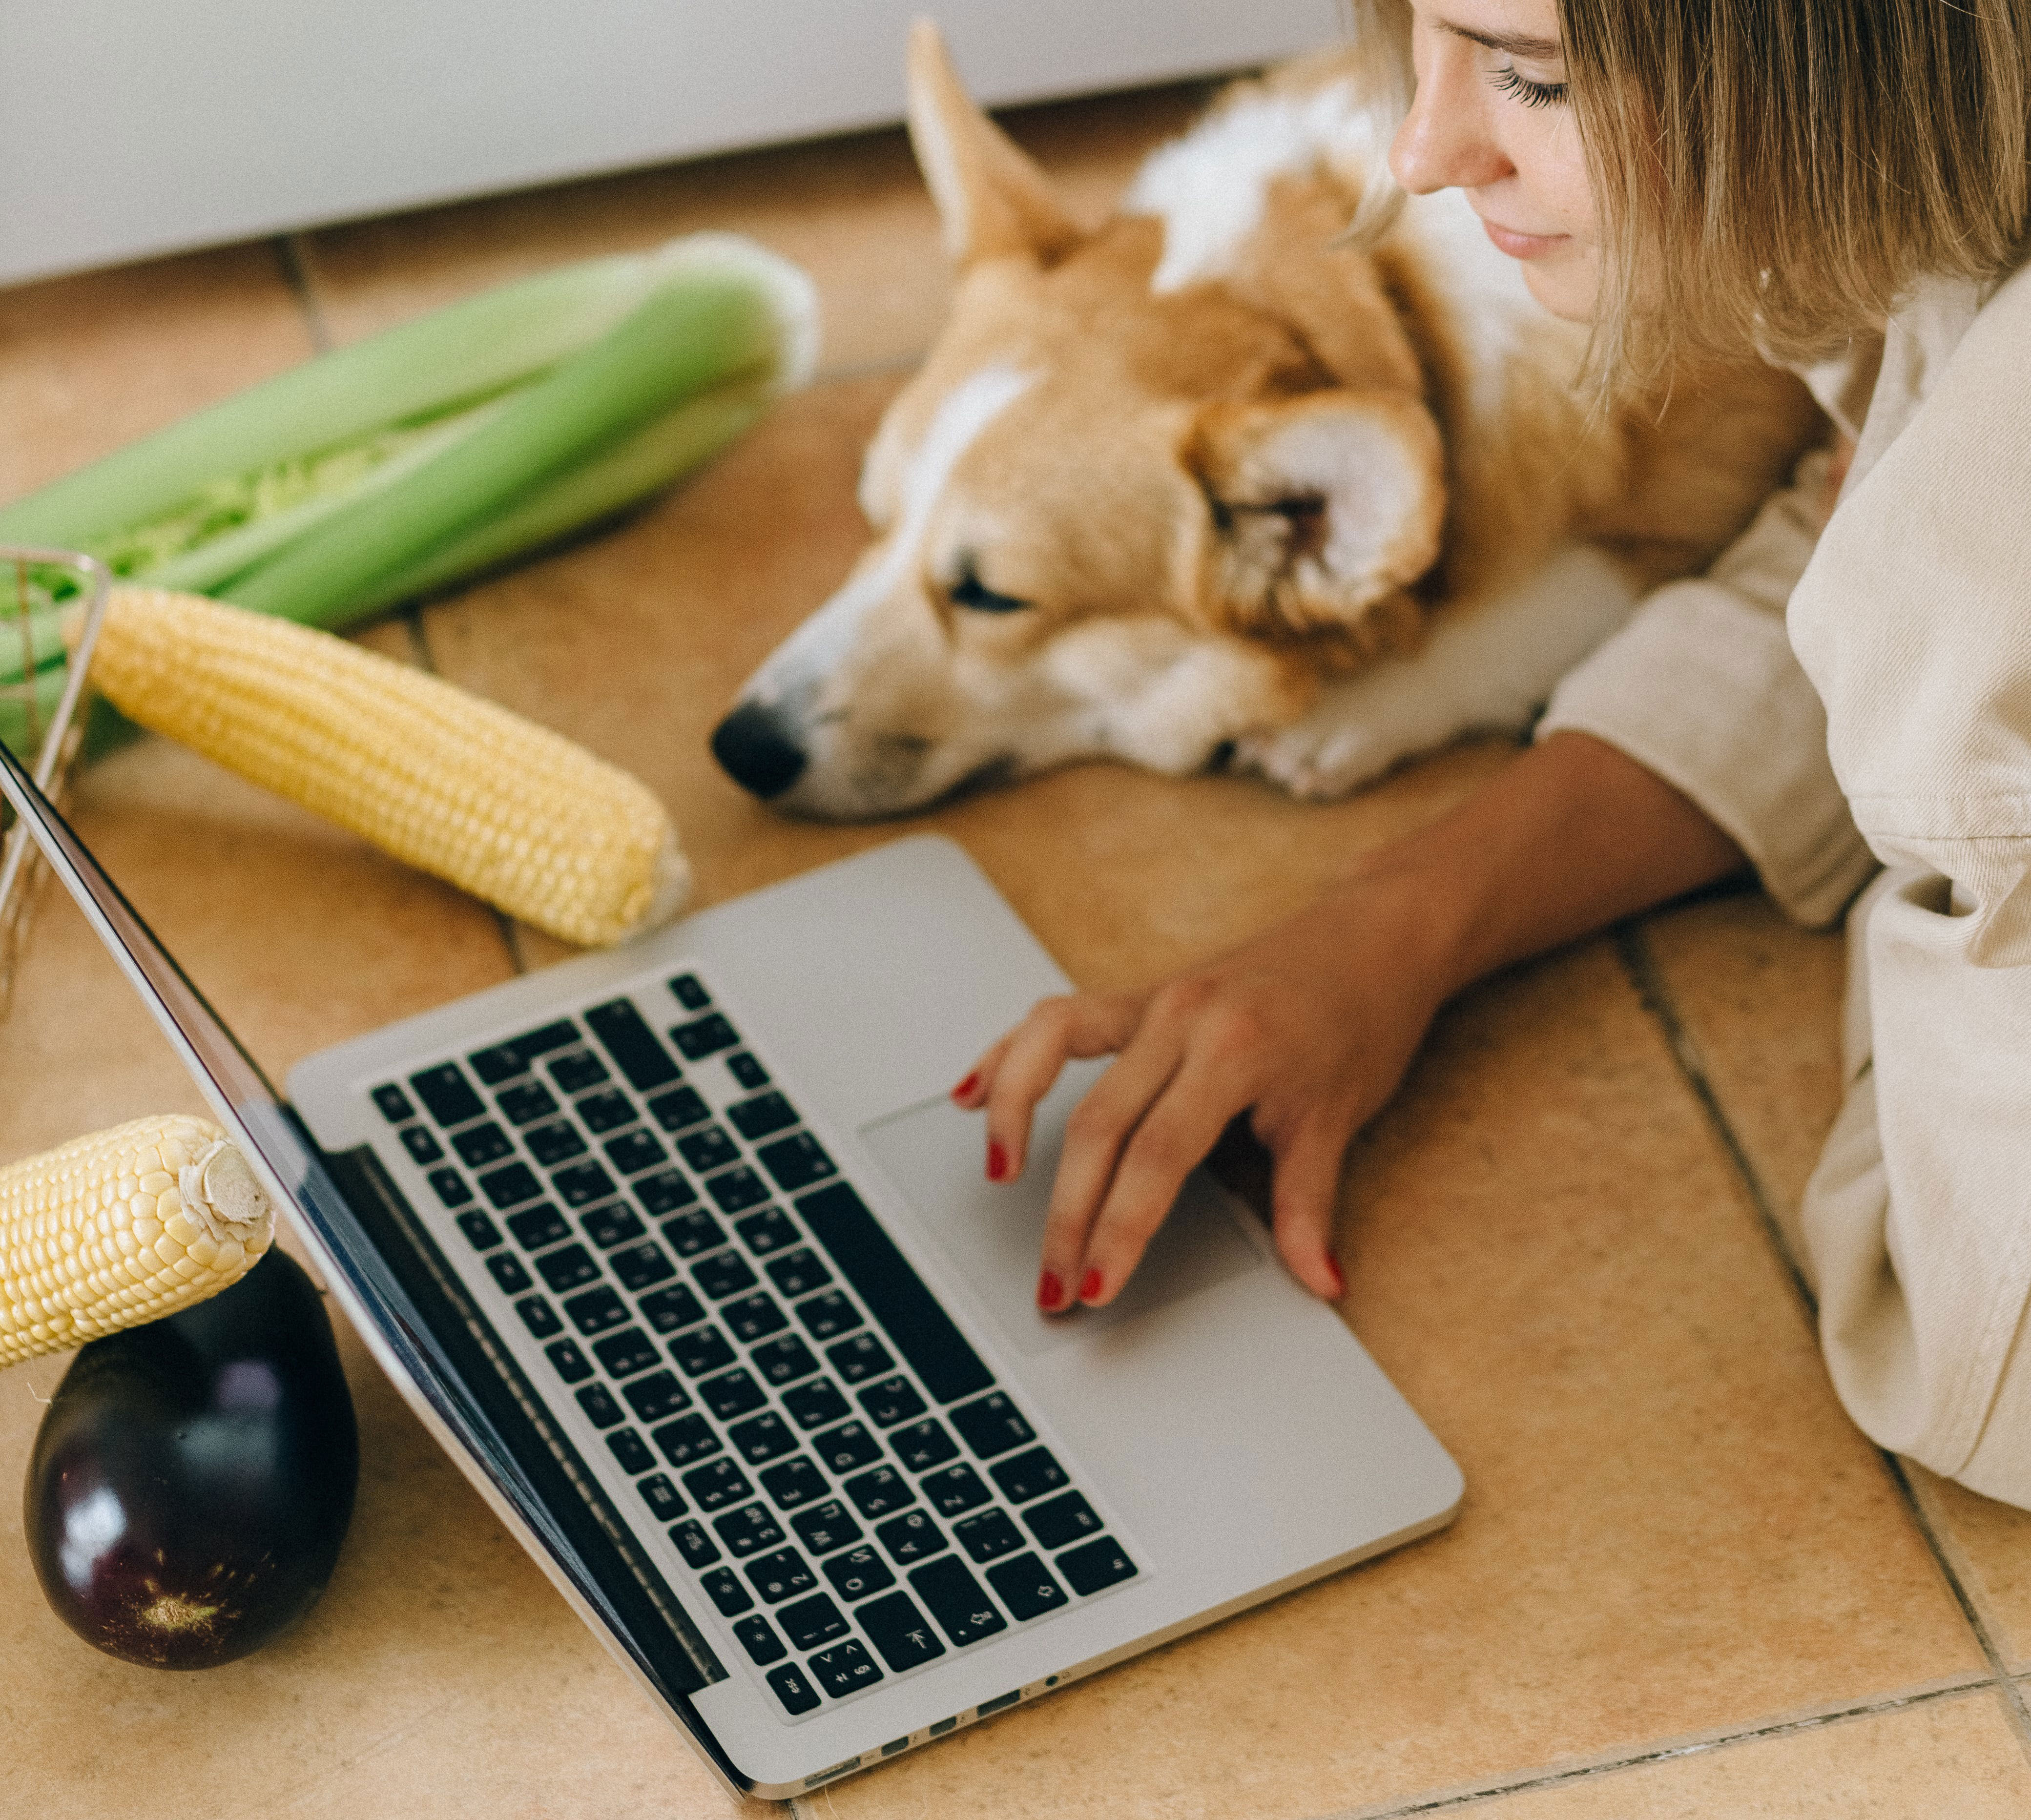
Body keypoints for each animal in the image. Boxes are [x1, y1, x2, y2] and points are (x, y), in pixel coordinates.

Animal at [711, 21, 1811, 812]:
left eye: (990, 597)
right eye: (875, 522)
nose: (736, 748)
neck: (1382, 292)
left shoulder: (1722, 473)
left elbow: (1551, 600)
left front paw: (1362, 708)